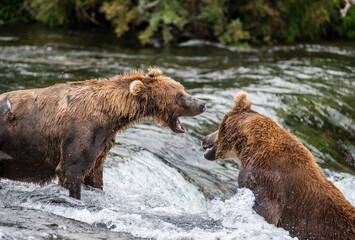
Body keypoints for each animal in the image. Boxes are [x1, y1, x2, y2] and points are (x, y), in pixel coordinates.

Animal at [0, 67, 206, 199]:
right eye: (179, 95)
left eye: (183, 89)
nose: (202, 104)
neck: (111, 114)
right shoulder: (81, 133)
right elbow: (70, 170)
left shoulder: (102, 142)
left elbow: (94, 174)